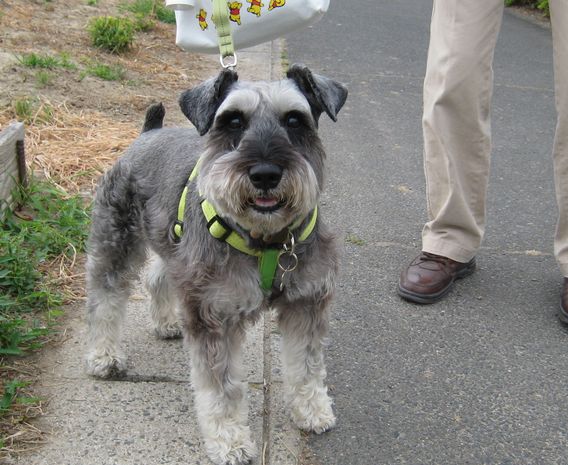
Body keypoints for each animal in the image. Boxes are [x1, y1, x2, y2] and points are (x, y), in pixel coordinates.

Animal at [85, 64, 346, 464]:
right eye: (233, 121)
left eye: (294, 120)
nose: (265, 173)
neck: (266, 241)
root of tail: (149, 132)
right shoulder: (213, 315)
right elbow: (221, 390)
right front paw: (230, 441)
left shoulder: (306, 302)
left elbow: (306, 366)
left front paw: (312, 410)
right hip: (116, 241)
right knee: (105, 299)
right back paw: (104, 357)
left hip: (173, 247)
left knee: (158, 278)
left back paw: (167, 323)